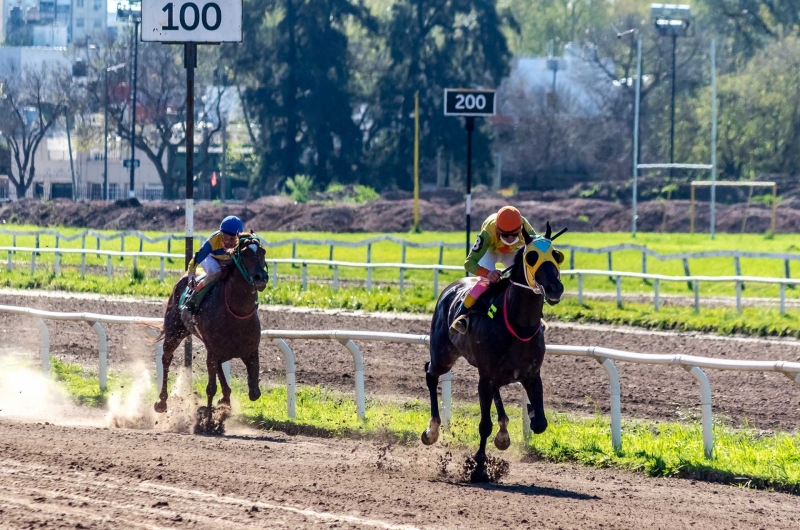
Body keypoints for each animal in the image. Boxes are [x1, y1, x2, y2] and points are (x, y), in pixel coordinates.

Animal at [154, 232, 268, 424]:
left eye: (263, 251)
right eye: (244, 253)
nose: (261, 277)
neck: (236, 313)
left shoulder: (251, 352)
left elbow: (254, 392)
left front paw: (223, 406)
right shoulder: (213, 352)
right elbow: (211, 388)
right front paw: (207, 419)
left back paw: (226, 399)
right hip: (174, 332)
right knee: (166, 358)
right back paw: (162, 402)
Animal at [422, 221, 564, 468]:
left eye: (556, 255)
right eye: (532, 257)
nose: (555, 288)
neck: (519, 325)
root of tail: (452, 287)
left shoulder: (531, 375)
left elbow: (540, 423)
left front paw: (528, 415)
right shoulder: (486, 377)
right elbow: (484, 425)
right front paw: (479, 465)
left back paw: (503, 432)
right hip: (443, 355)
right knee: (430, 373)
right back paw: (432, 430)